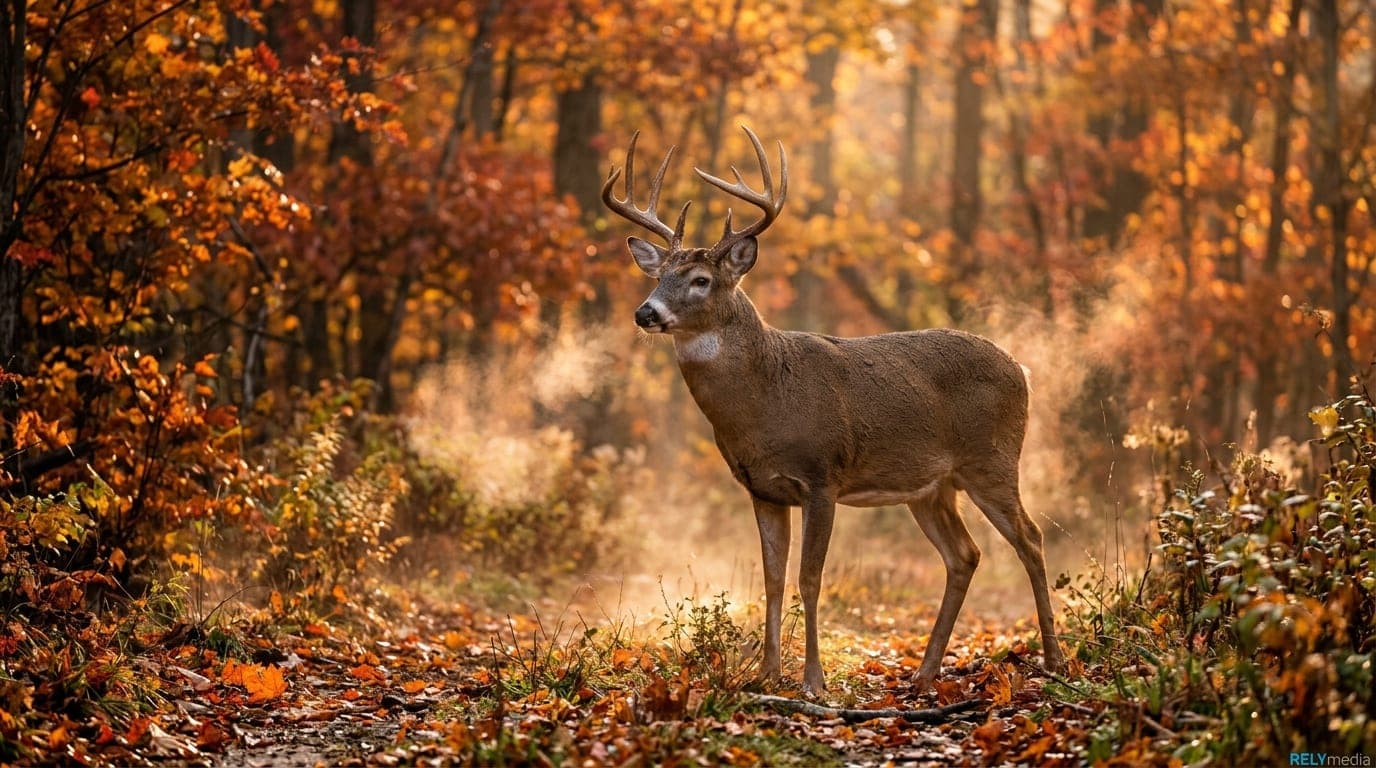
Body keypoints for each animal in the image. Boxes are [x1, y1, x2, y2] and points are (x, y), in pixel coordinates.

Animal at [602, 126, 1065, 694]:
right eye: (659, 276)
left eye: (700, 281)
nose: (645, 312)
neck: (767, 402)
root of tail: (1022, 368)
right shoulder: (762, 489)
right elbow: (772, 578)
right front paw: (766, 674)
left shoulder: (822, 477)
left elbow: (810, 577)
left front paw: (813, 681)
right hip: (930, 487)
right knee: (965, 555)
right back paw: (924, 674)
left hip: (993, 459)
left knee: (1031, 538)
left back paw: (1053, 660)